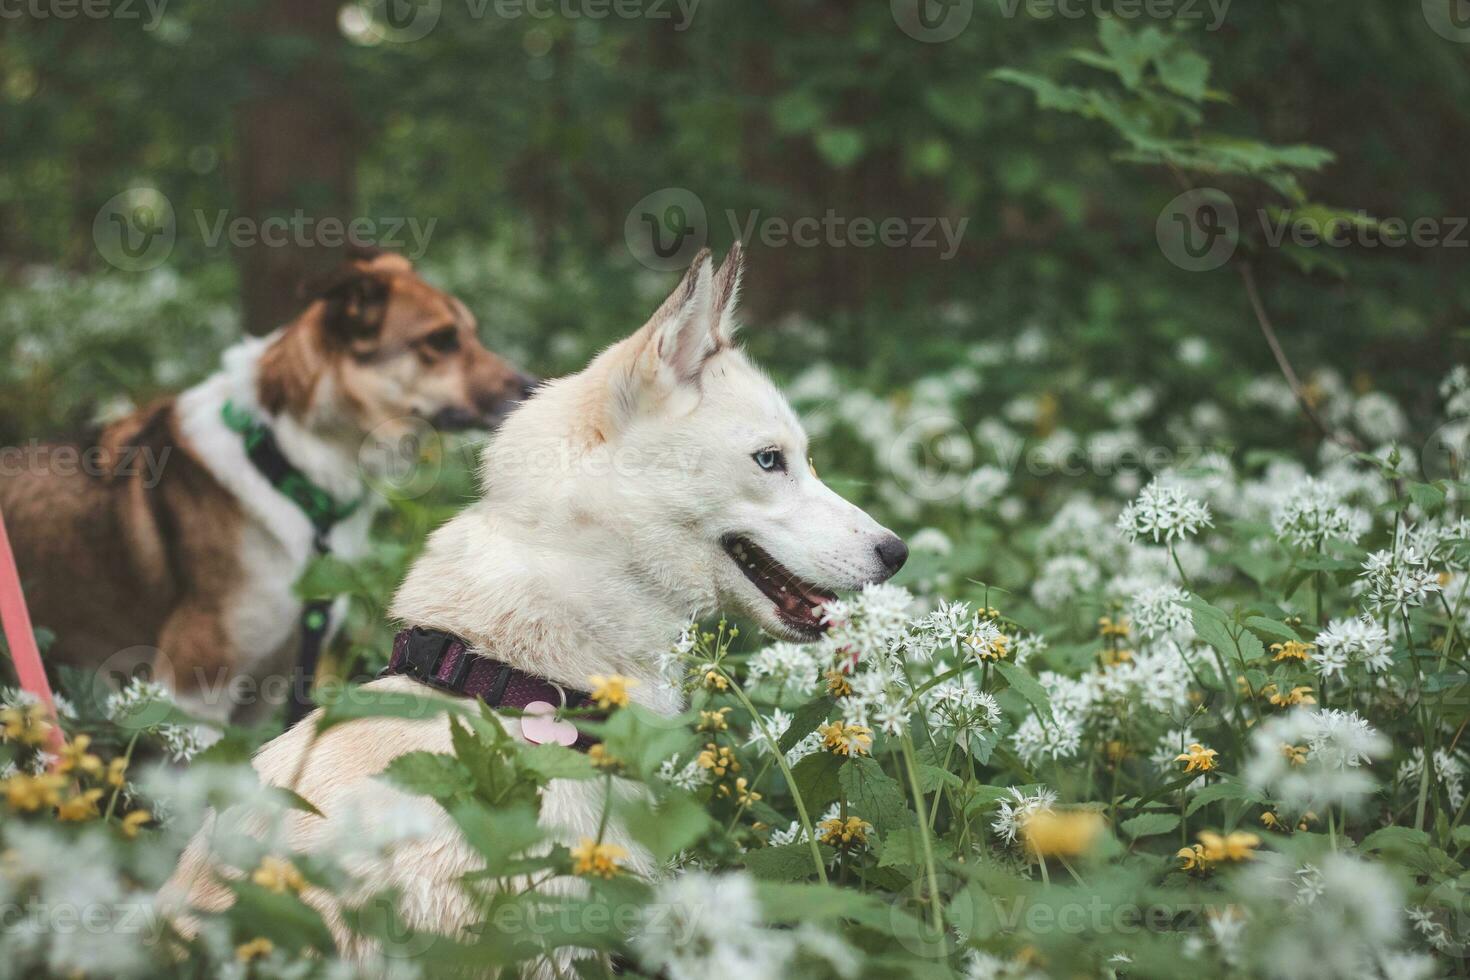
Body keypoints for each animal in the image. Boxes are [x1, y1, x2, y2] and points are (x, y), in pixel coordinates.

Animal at [1, 246, 535, 728]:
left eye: (471, 333)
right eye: (441, 340)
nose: (532, 388)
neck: (284, 463)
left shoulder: (270, 683)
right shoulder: (194, 685)